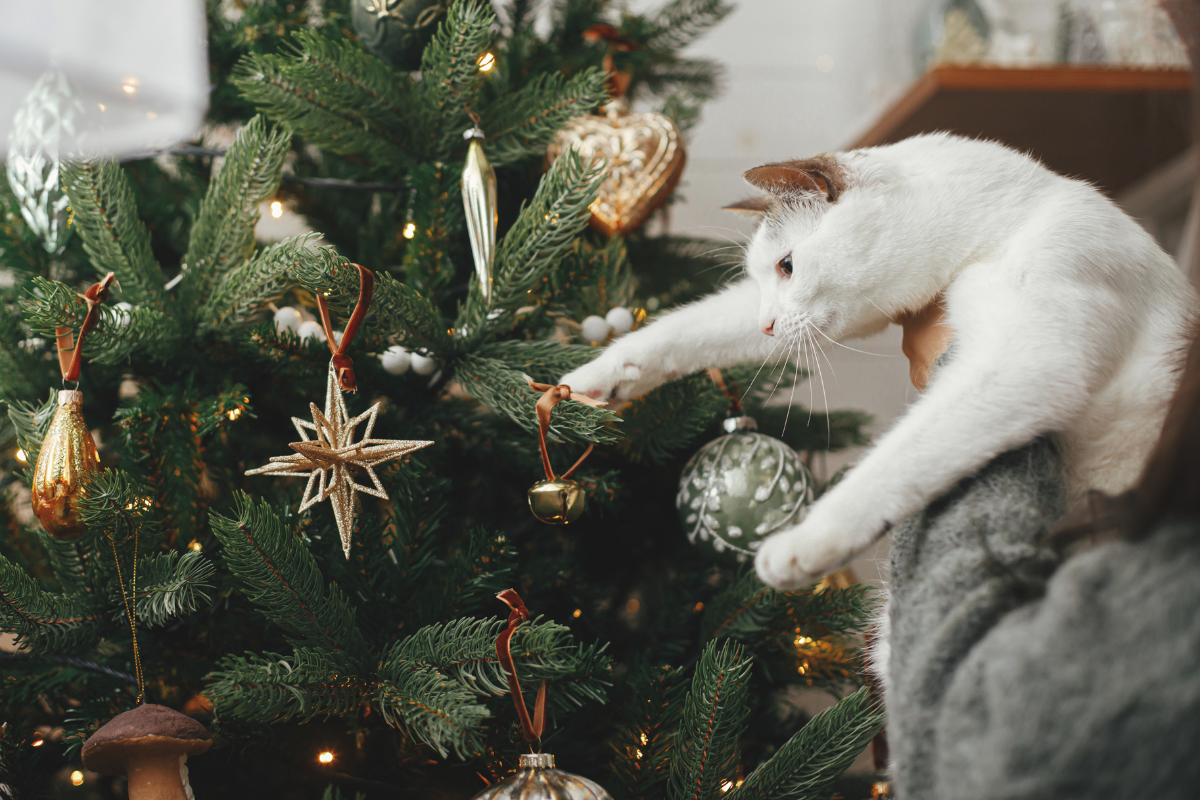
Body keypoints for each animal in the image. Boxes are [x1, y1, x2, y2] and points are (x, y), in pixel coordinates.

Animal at [561, 134, 1200, 592]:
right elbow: (687, 329)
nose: (767, 323)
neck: (1004, 223)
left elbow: (900, 457)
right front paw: (596, 378)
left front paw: (805, 543)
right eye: (760, 281)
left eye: (787, 266)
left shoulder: (1031, 360)